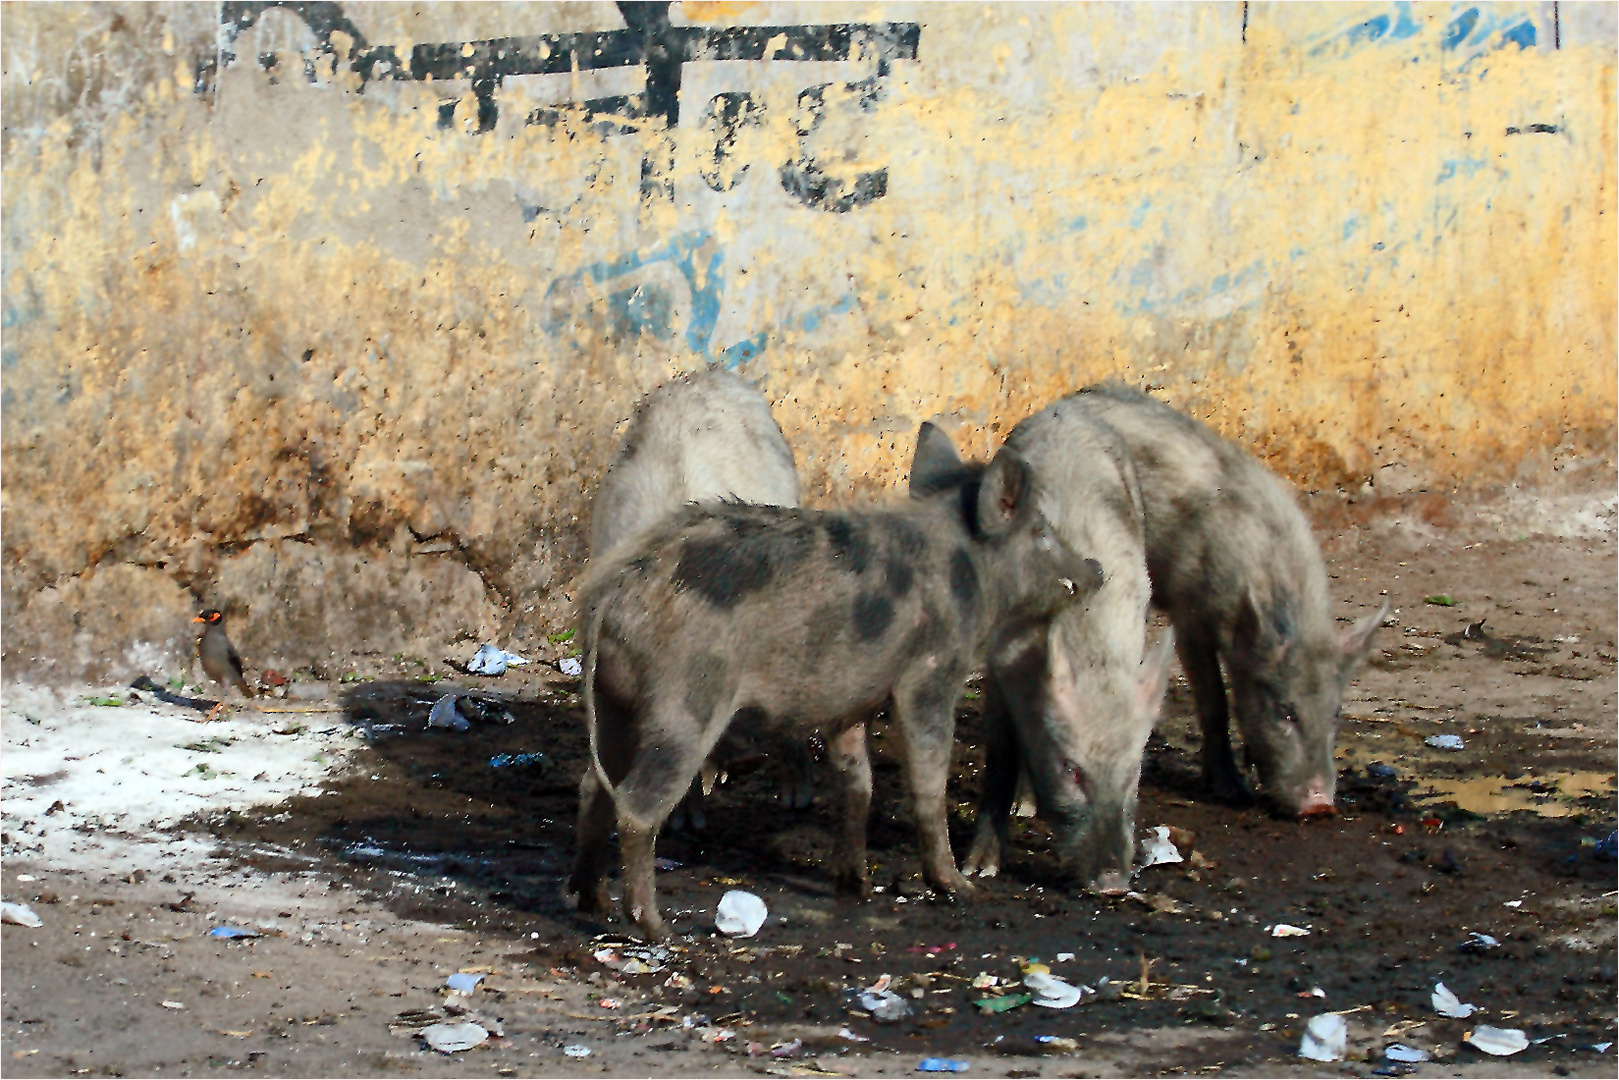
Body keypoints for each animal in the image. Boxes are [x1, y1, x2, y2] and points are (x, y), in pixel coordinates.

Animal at [566, 420, 1100, 939]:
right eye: (1040, 529)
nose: (1095, 568)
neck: (967, 574)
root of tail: (615, 589)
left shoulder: (851, 702)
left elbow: (857, 784)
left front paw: (855, 887)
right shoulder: (931, 673)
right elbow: (928, 782)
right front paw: (962, 889)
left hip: (615, 700)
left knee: (594, 787)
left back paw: (592, 903)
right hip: (683, 702)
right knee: (636, 805)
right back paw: (657, 930)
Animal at [945, 401, 1178, 893]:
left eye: (1134, 771)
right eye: (1071, 768)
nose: (1113, 883)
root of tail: (1068, 409)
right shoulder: (999, 663)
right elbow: (1000, 754)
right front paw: (980, 868)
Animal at [1068, 383, 1385, 816]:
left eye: (1335, 712)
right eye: (1284, 711)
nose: (1319, 805)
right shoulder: (1189, 611)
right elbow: (1214, 699)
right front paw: (1232, 791)